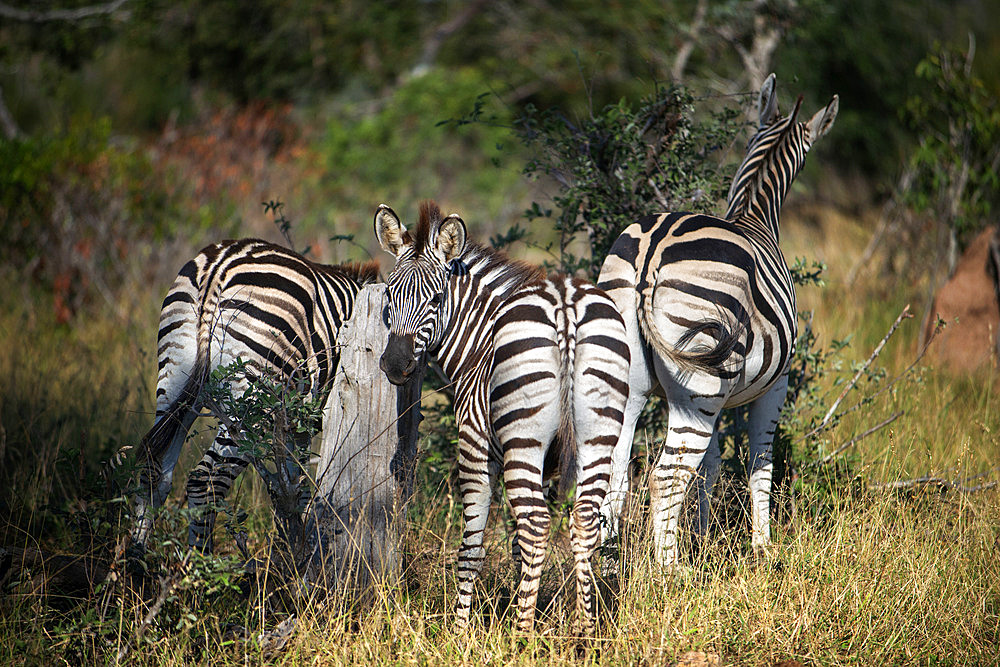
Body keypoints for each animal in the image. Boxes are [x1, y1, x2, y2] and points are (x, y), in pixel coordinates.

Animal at [130, 237, 378, 556]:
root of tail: (218, 268)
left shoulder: (292, 419)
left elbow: (291, 483)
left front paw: (292, 545)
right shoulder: (306, 417)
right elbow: (296, 483)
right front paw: (300, 549)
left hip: (175, 378)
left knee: (155, 471)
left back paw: (135, 561)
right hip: (250, 401)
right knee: (206, 481)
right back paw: (201, 564)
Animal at [374, 200, 624, 636]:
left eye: (436, 299)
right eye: (390, 294)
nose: (395, 366)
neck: (479, 342)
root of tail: (564, 301)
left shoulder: (475, 446)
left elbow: (472, 547)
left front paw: (460, 632)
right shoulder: (547, 465)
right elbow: (517, 546)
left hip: (523, 441)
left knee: (538, 526)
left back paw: (521, 635)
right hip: (598, 436)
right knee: (583, 522)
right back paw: (585, 632)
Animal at [596, 73, 840, 568]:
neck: (753, 214)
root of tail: (651, 249)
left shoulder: (721, 398)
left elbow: (709, 467)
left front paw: (705, 540)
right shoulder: (776, 382)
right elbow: (760, 462)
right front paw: (763, 548)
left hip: (639, 381)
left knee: (615, 478)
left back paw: (608, 567)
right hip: (700, 379)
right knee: (664, 477)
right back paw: (670, 574)